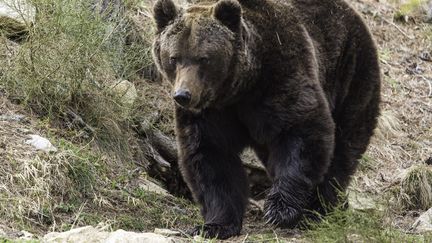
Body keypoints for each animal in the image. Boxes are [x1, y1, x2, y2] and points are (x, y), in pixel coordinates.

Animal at [151, 0, 378, 239]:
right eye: (173, 58)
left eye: (203, 58)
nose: (183, 95)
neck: (239, 89)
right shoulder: (210, 113)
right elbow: (210, 158)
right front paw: (215, 225)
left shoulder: (281, 73)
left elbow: (303, 131)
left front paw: (280, 209)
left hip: (350, 70)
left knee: (344, 146)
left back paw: (318, 209)